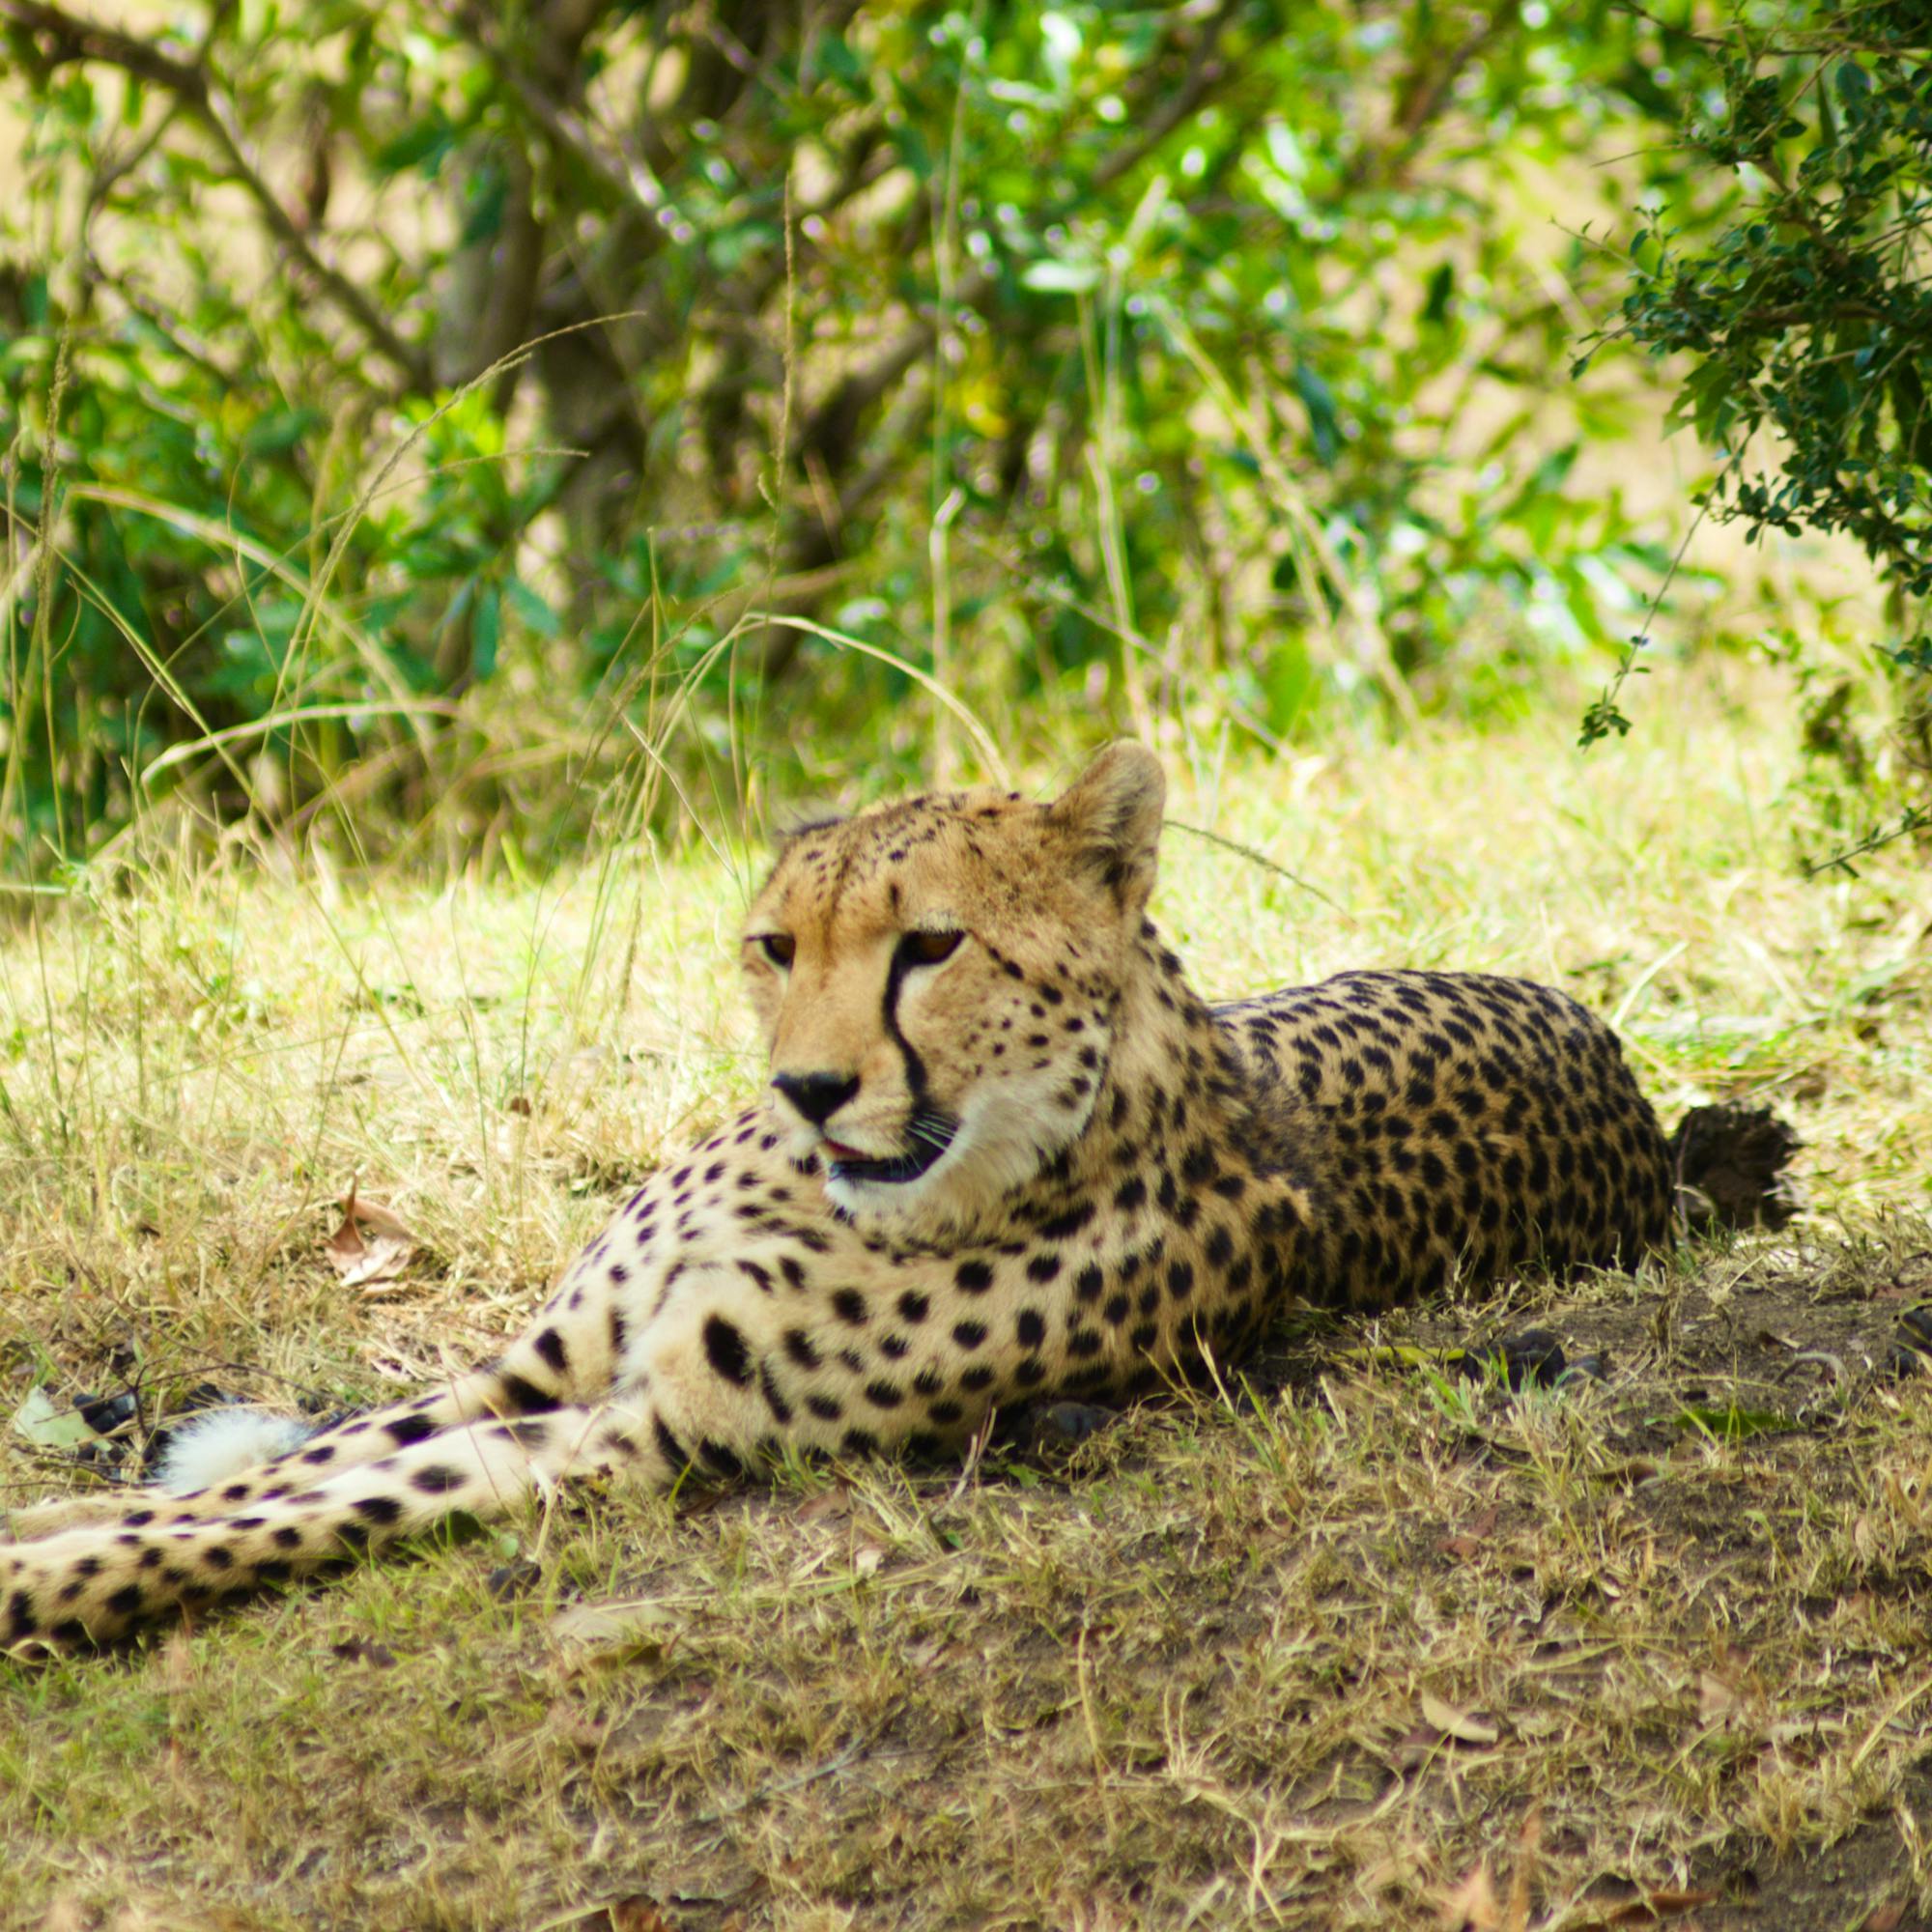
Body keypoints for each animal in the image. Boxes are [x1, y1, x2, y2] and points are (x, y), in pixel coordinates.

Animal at [1, 741, 1687, 1649]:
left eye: (929, 947)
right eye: (776, 948)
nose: (810, 1089)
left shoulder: (644, 1429)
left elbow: (300, 1510)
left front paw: (49, 1588)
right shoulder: (541, 1361)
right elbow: (271, 1473)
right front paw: (61, 1518)